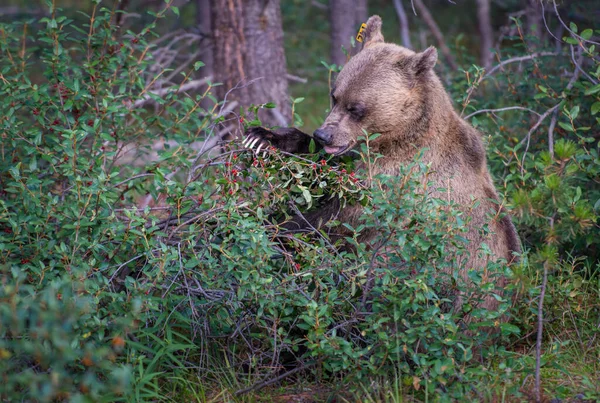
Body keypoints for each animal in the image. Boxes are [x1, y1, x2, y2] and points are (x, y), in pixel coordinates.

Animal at [244, 15, 520, 312]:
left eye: (356, 108)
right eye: (334, 96)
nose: (323, 135)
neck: (395, 138)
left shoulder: (398, 185)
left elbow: (335, 220)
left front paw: (270, 226)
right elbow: (324, 170)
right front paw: (262, 138)